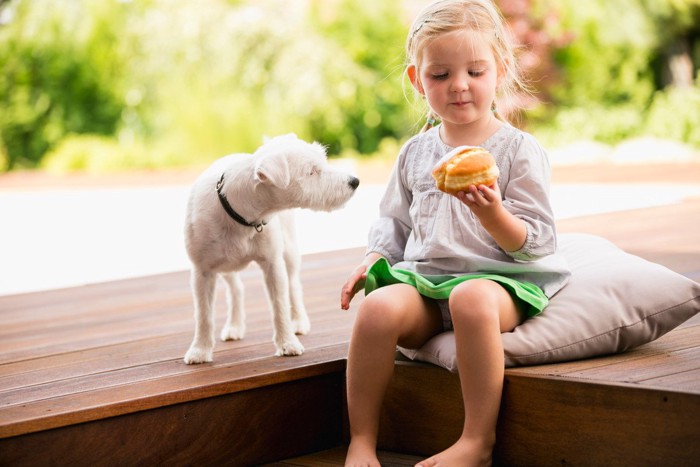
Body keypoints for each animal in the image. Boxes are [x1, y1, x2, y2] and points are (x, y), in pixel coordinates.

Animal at [183, 133, 358, 364]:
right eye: (311, 171)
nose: (354, 181)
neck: (240, 213)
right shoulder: (202, 271)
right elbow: (203, 314)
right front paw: (200, 350)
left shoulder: (273, 264)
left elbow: (280, 306)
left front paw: (287, 343)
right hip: (224, 266)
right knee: (236, 289)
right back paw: (234, 325)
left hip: (289, 252)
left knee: (293, 285)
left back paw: (299, 321)